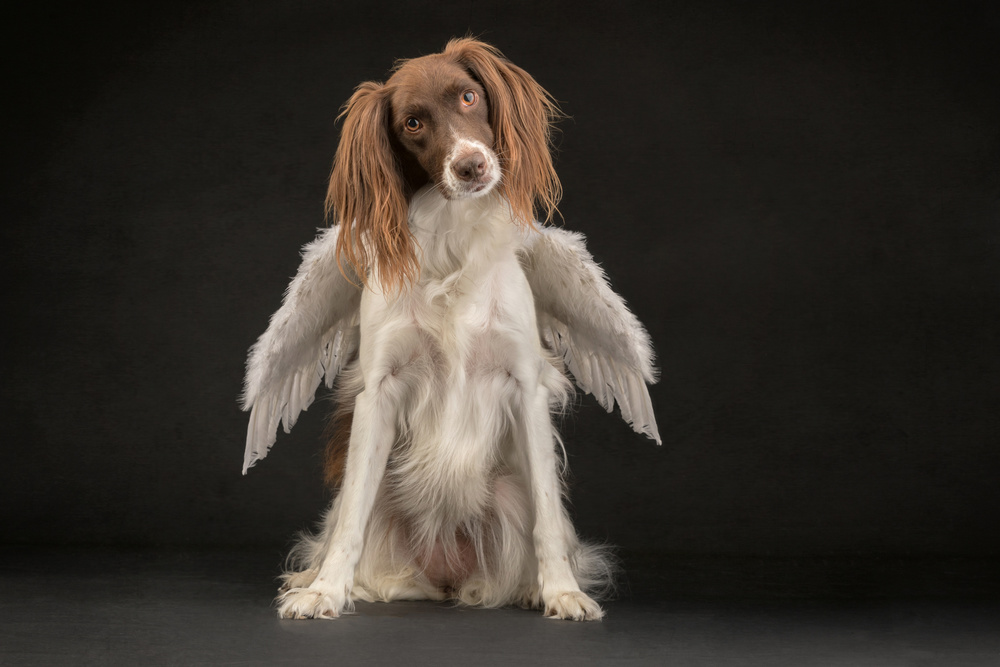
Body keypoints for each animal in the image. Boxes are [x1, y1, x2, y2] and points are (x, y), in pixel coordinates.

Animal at [241, 38, 660, 621]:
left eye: (468, 96)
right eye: (413, 123)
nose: (471, 165)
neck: (453, 241)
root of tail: (444, 578)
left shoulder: (523, 384)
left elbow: (548, 517)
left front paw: (561, 591)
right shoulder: (380, 389)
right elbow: (349, 519)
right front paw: (325, 590)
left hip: (506, 492)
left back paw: (530, 588)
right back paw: (317, 578)